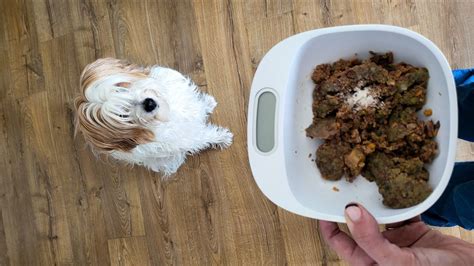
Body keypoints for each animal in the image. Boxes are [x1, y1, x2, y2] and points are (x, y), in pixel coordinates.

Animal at [73, 58, 233, 175]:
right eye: (121, 115)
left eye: (121, 88)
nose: (149, 103)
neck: (167, 112)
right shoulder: (187, 137)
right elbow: (205, 136)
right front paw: (223, 137)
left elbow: (196, 105)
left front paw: (207, 103)